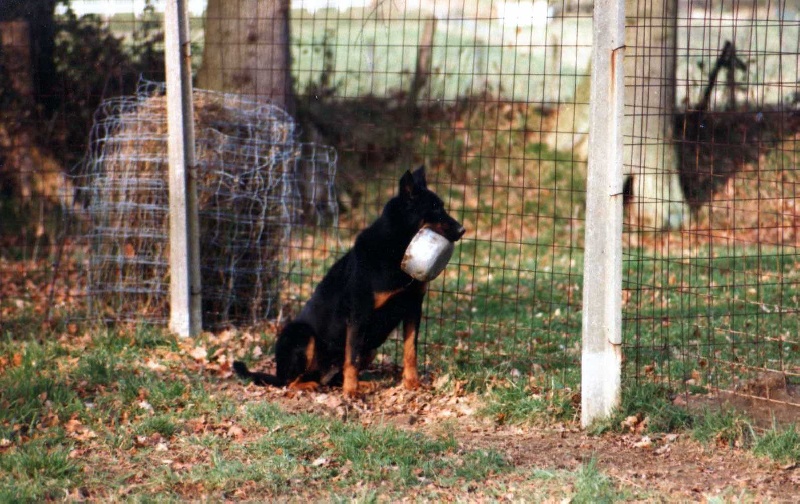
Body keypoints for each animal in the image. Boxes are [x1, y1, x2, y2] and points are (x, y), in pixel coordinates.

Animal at [234, 167, 466, 396]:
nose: (462, 230)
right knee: (289, 382)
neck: (397, 249)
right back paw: (309, 385)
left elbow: (410, 352)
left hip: (370, 349)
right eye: (434, 208)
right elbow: (352, 358)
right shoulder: (358, 315)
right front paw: (352, 392)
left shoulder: (413, 309)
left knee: (334, 377)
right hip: (302, 335)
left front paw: (412, 383)